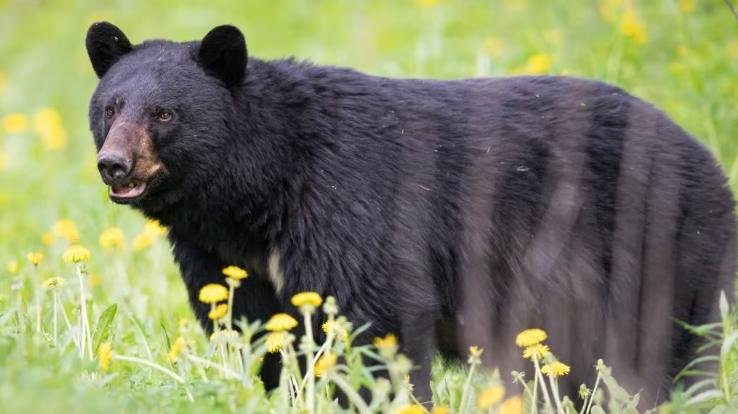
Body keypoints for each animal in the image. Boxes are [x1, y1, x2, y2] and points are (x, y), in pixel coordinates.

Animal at [85, 22, 736, 406]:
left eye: (165, 114)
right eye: (111, 107)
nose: (114, 164)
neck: (260, 191)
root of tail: (707, 157)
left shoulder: (349, 204)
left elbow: (377, 317)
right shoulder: (221, 254)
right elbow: (257, 327)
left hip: (659, 244)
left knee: (664, 347)